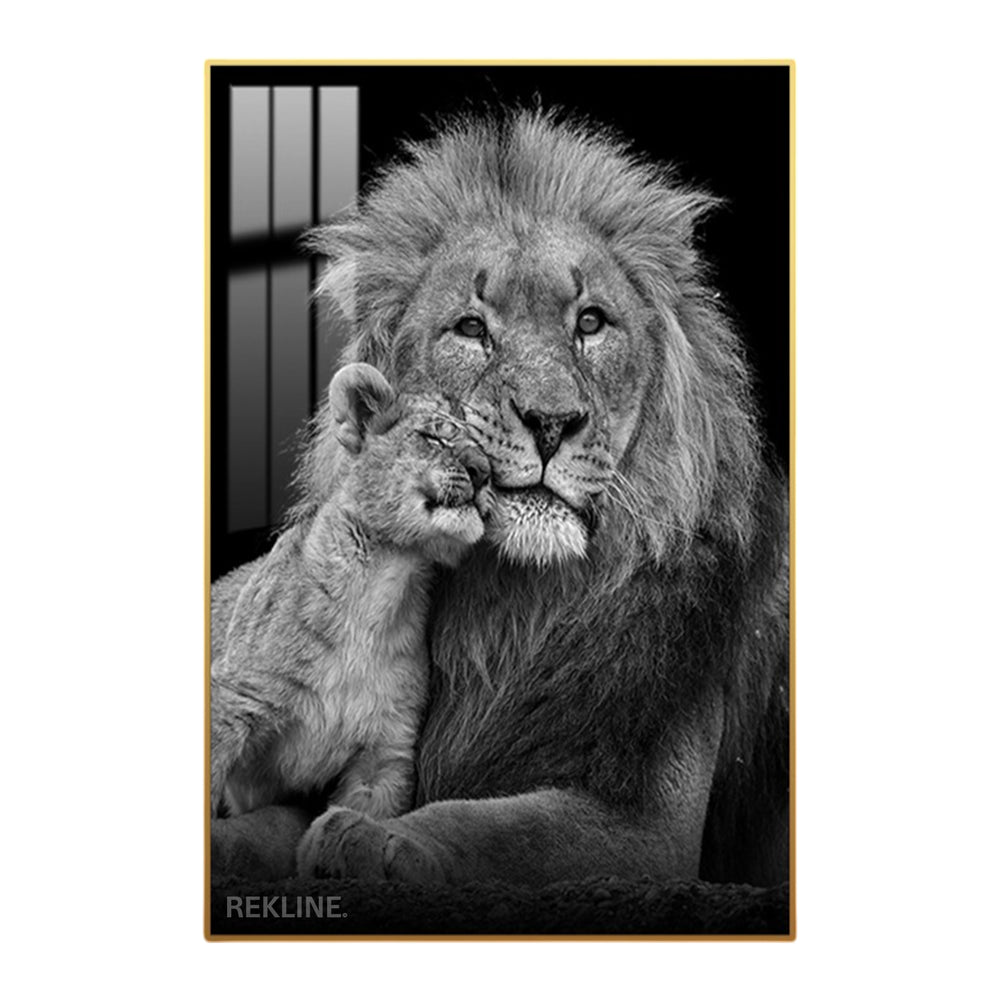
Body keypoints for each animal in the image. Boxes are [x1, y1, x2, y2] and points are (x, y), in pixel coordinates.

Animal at [211, 362, 493, 824]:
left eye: (491, 460)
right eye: (434, 437)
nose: (483, 473)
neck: (384, 586)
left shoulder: (385, 752)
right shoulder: (232, 700)